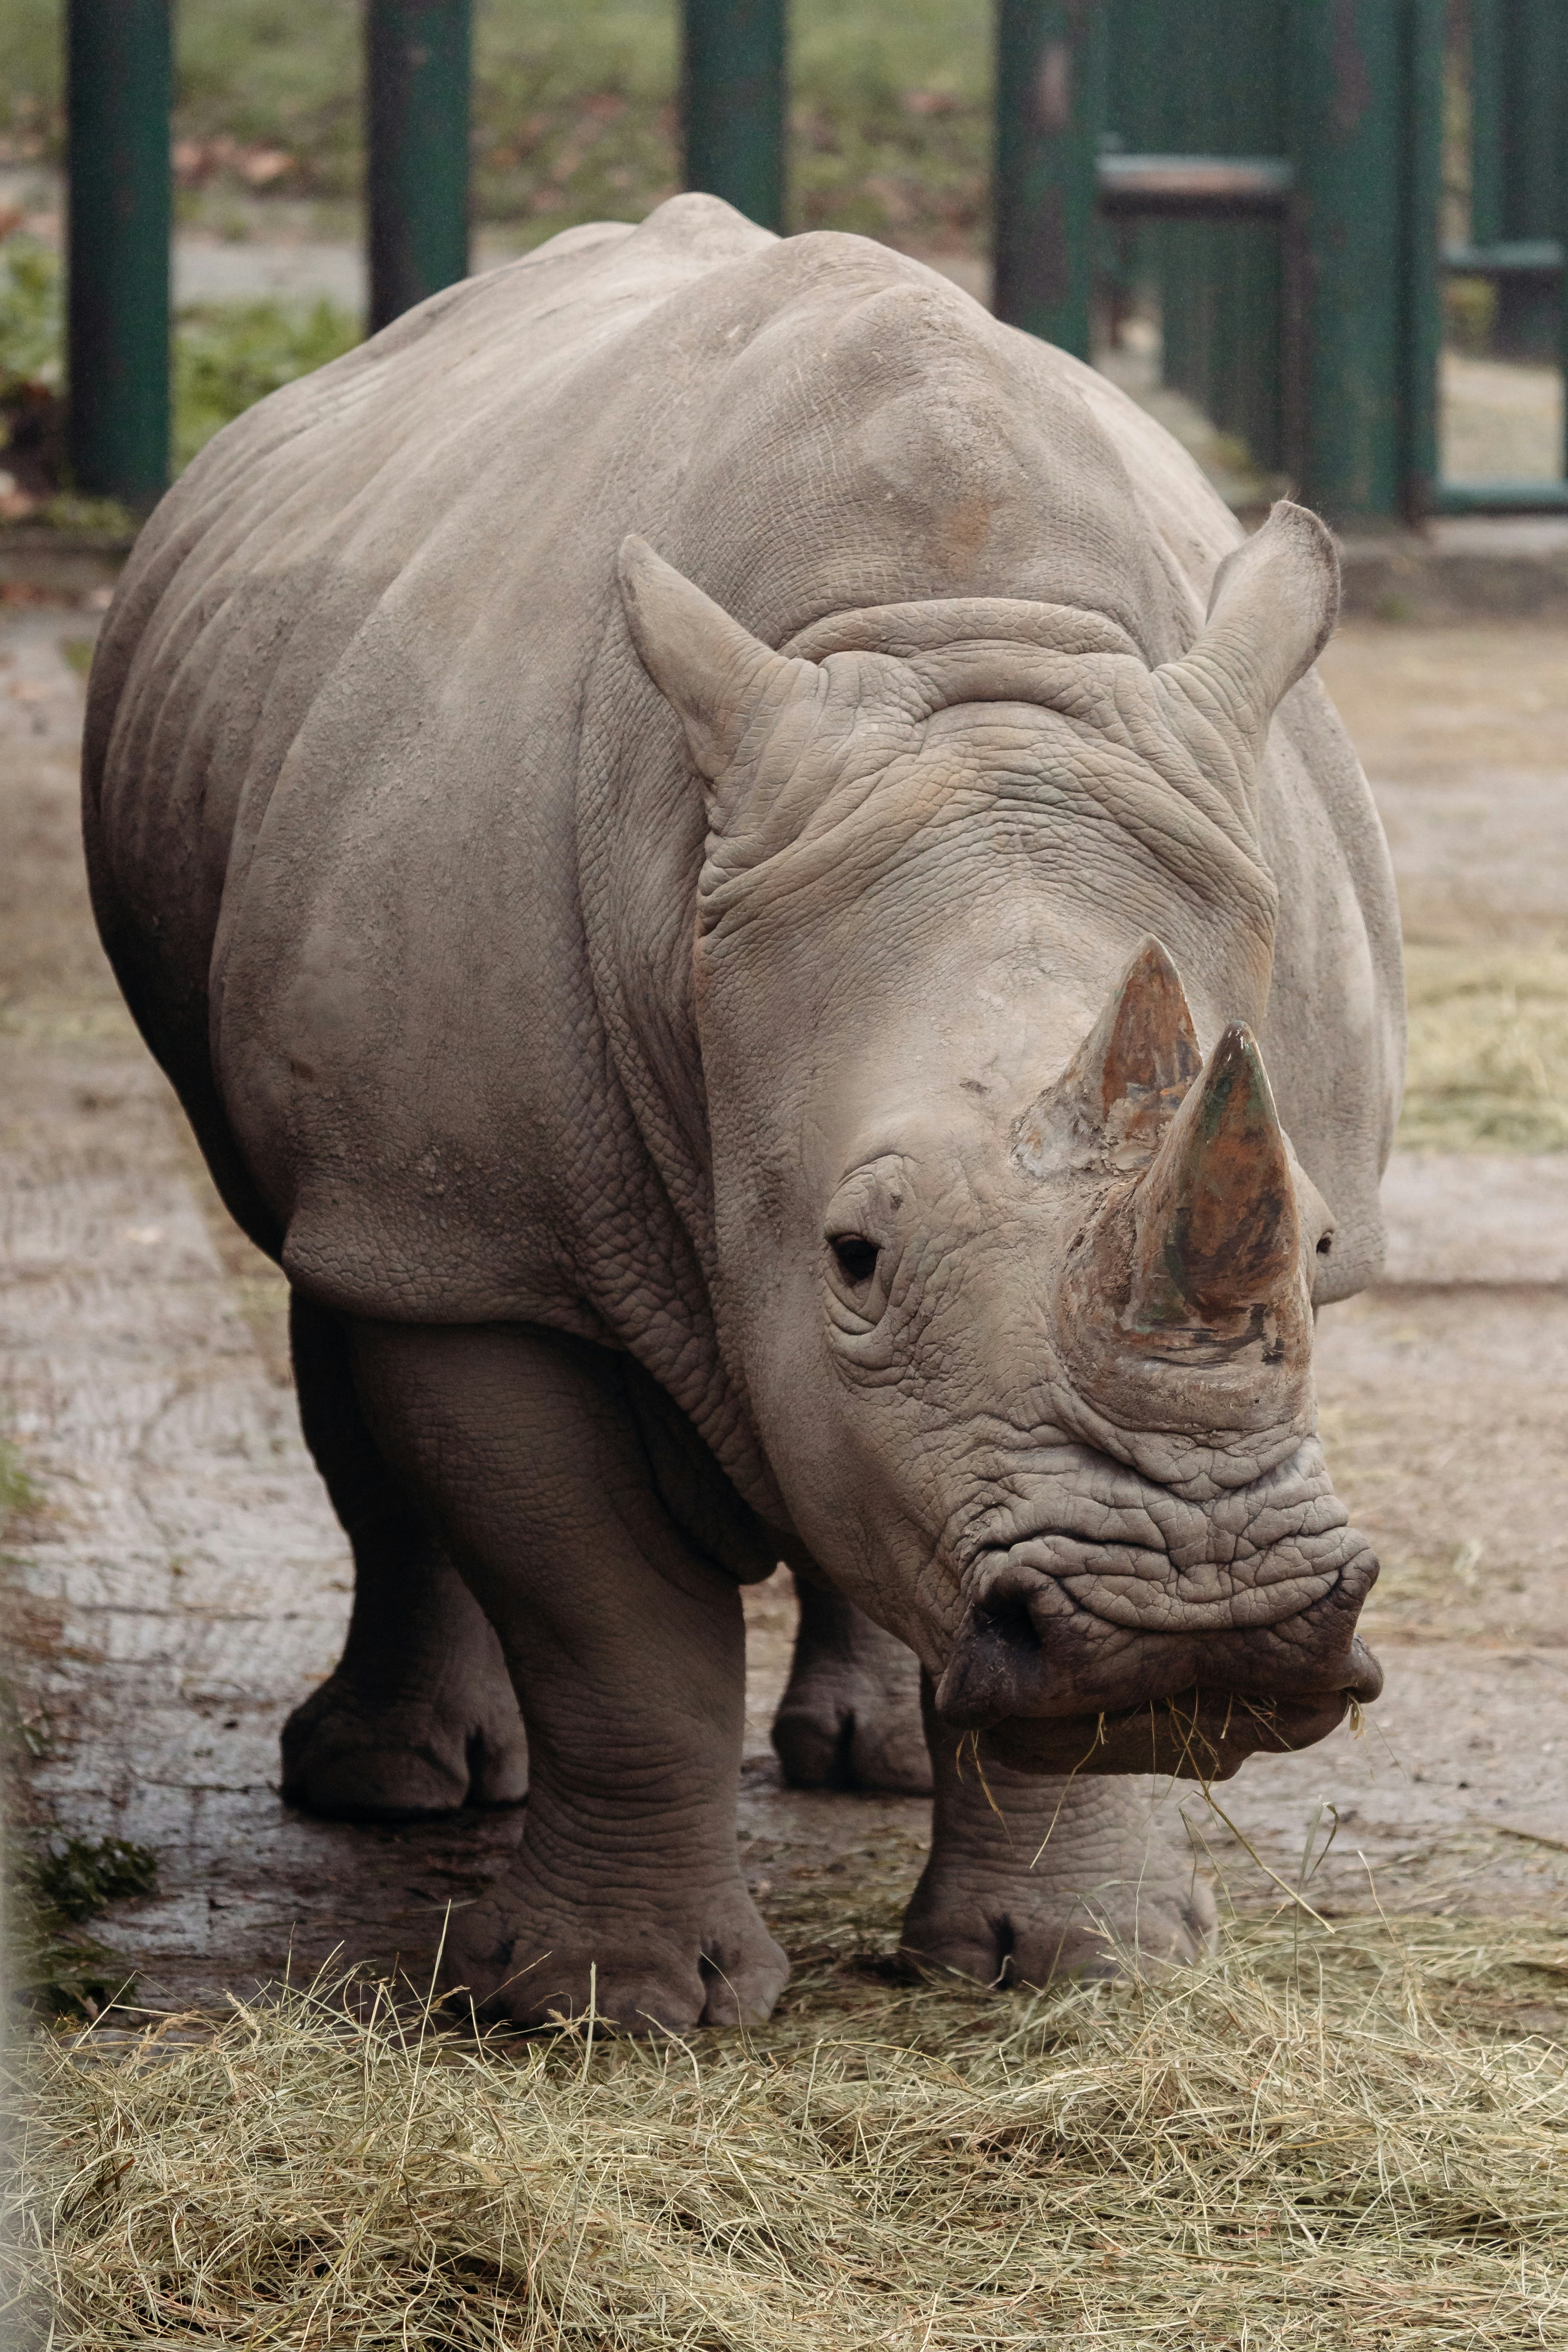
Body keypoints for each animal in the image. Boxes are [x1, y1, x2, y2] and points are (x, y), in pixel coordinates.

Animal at [83, 195, 1402, 2028]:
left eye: (1322, 1242)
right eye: (852, 1255)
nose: (1196, 1620)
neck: (949, 649)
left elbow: (1040, 1696)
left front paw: (1081, 1963)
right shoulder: (478, 1236)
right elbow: (617, 1626)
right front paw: (612, 2003)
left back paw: (878, 1760)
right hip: (384, 1180)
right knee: (334, 1292)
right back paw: (396, 1790)